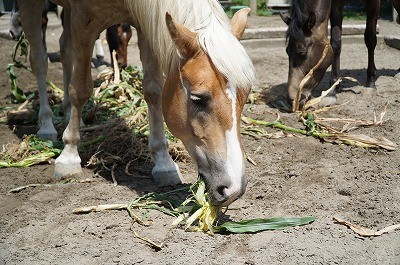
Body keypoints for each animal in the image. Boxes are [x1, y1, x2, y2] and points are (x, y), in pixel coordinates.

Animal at [15, 0, 256, 205]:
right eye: (198, 99)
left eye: (245, 97)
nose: (233, 189)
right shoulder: (83, 19)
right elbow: (80, 90)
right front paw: (69, 156)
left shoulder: (145, 23)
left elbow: (153, 90)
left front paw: (163, 163)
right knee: (39, 60)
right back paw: (47, 125)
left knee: (65, 52)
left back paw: (68, 114)